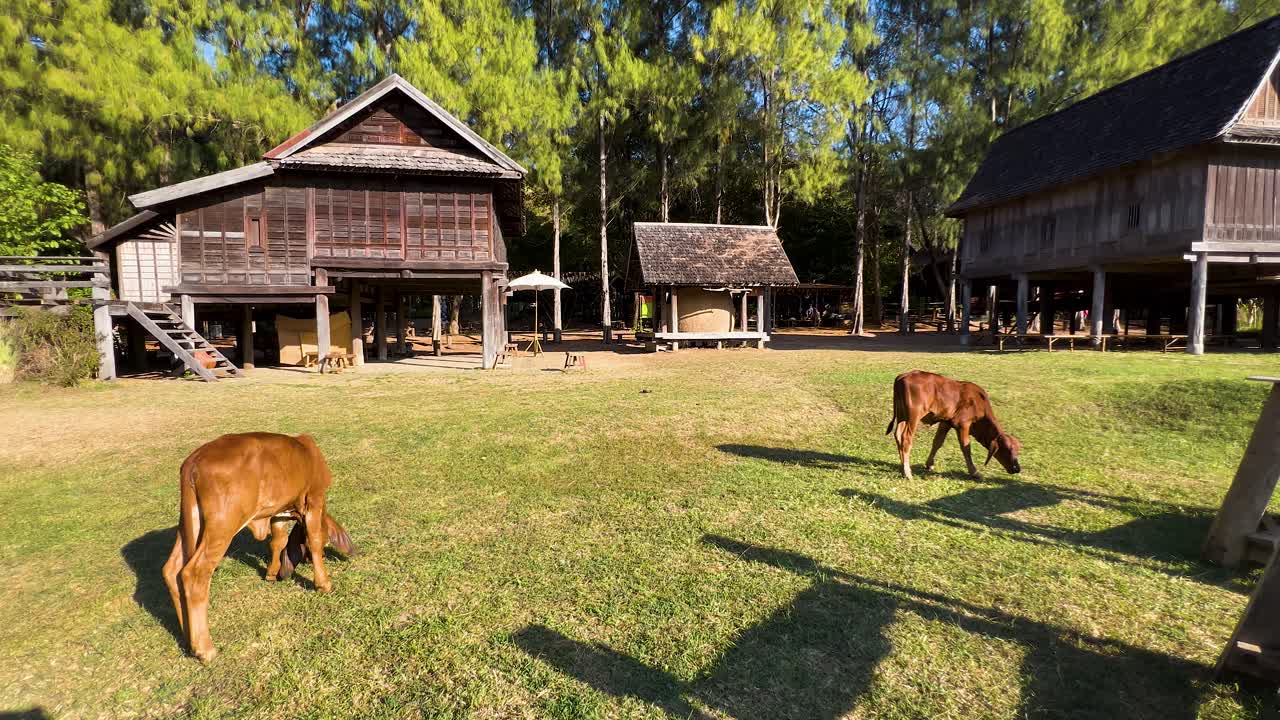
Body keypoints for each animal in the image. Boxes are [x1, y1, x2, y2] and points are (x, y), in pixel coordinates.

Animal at [161, 432, 351, 662]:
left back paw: (189, 638)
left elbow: (278, 540)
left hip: (190, 522)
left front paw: (271, 573)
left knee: (171, 570)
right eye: (326, 540)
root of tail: (194, 461)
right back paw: (204, 648)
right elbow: (313, 538)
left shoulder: (278, 512)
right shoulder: (314, 498)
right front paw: (323, 583)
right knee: (194, 573)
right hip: (222, 524)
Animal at [886, 370, 1022, 480]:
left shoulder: (945, 422)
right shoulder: (963, 424)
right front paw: (974, 472)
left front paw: (929, 464)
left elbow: (937, 442)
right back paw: (907, 473)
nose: (1017, 469)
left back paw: (903, 466)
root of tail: (903, 376)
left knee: (898, 435)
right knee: (906, 439)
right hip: (914, 416)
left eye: (1017, 450)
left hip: (902, 415)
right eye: (1007, 450)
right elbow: (966, 448)